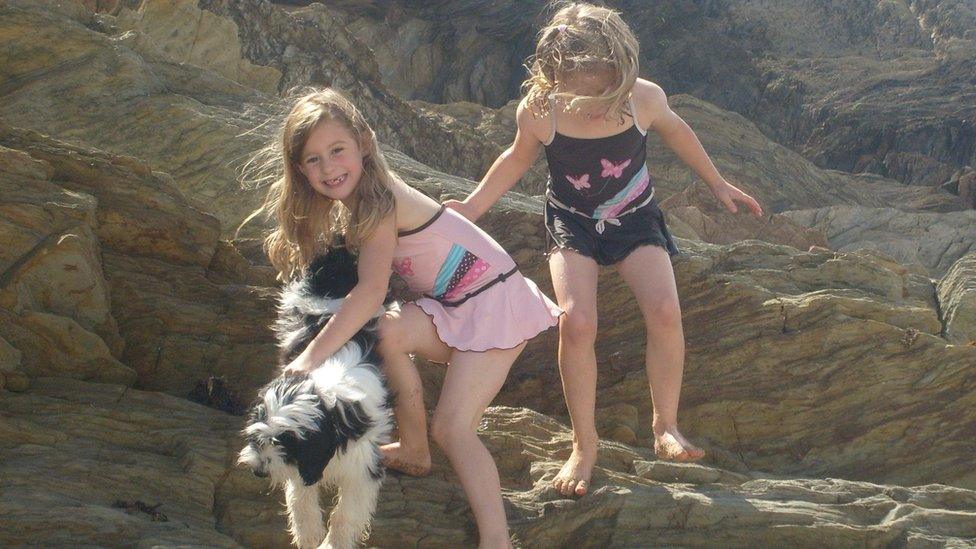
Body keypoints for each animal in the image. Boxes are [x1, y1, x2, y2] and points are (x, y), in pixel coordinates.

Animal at [238, 248, 394, 548]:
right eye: (260, 437)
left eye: (285, 442)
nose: (259, 471)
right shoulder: (304, 466)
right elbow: (301, 501)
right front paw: (309, 537)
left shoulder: (364, 465)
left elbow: (346, 514)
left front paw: (334, 543)